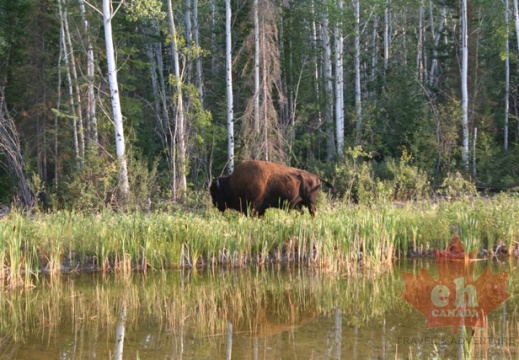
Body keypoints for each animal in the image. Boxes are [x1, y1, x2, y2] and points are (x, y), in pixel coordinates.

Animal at [210, 160, 338, 217]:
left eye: (215, 193)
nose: (215, 205)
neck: (232, 183)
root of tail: (316, 177)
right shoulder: (260, 209)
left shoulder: (253, 206)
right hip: (301, 204)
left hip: (310, 203)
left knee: (313, 212)